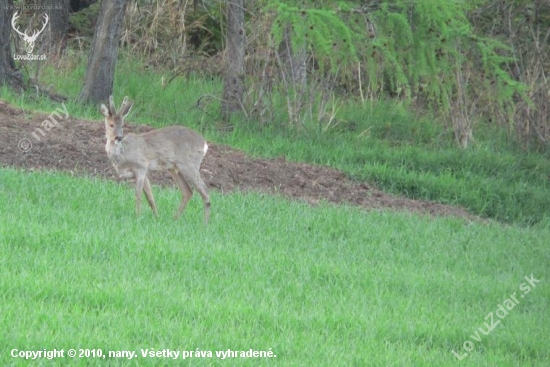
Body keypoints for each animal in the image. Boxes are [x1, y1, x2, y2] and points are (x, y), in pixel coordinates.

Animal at [101, 95, 211, 224]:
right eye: (111, 124)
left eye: (122, 125)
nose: (118, 137)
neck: (122, 156)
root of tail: (204, 144)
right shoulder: (142, 172)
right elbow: (150, 196)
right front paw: (156, 216)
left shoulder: (141, 166)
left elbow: (138, 194)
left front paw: (137, 216)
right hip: (173, 168)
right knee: (187, 191)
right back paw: (174, 219)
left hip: (189, 165)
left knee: (205, 191)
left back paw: (205, 224)